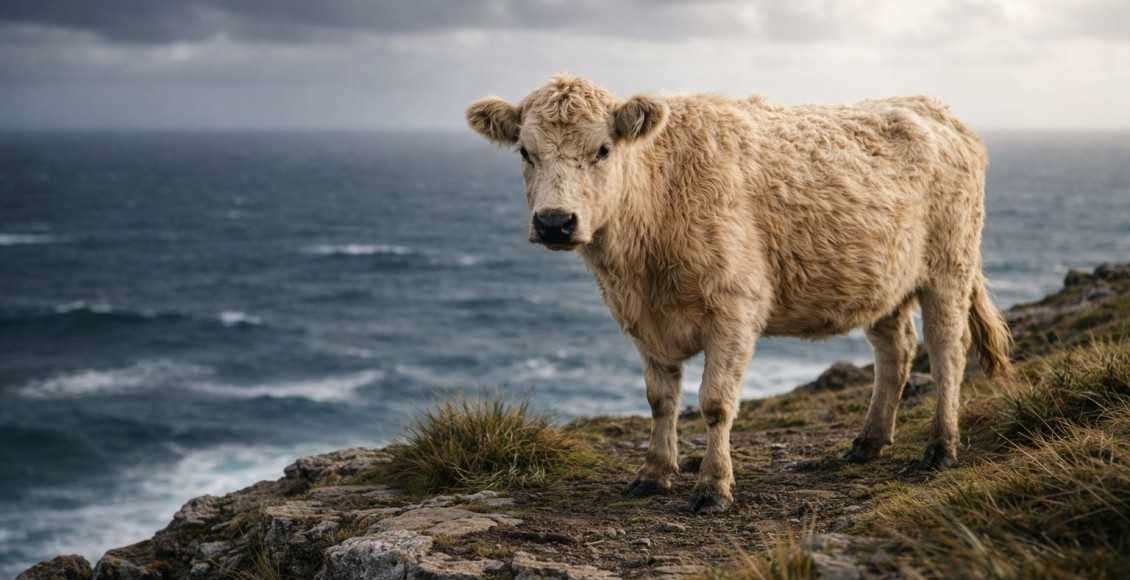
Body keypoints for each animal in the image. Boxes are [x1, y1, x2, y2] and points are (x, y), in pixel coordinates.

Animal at [465, 74, 1012, 513]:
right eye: (525, 151)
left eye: (602, 149)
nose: (555, 222)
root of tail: (931, 105)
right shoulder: (640, 320)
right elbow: (659, 399)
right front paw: (653, 474)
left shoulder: (734, 308)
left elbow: (714, 403)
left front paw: (713, 488)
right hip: (882, 279)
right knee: (896, 350)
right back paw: (868, 443)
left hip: (949, 266)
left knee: (947, 351)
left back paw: (940, 450)